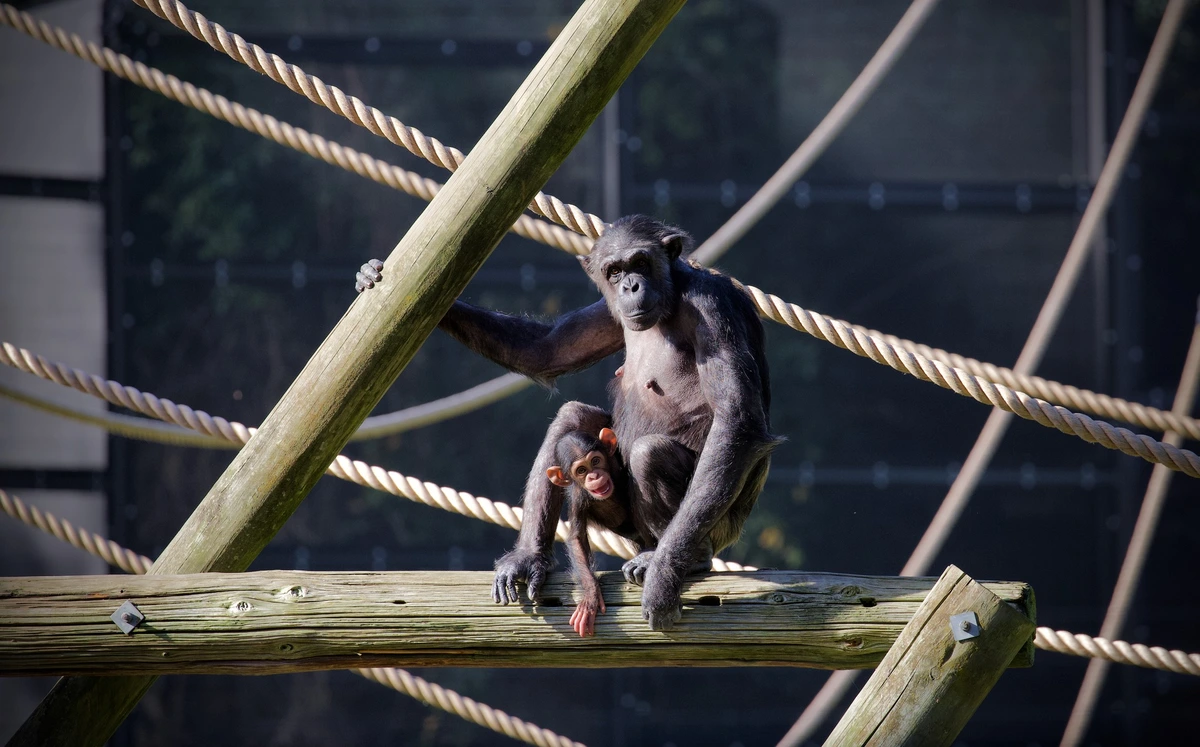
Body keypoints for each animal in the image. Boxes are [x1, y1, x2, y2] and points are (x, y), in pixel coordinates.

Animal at [547, 427, 633, 638]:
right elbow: (577, 538)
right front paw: (590, 597)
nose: (593, 476)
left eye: (595, 461)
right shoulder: (577, 497)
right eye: (581, 470)